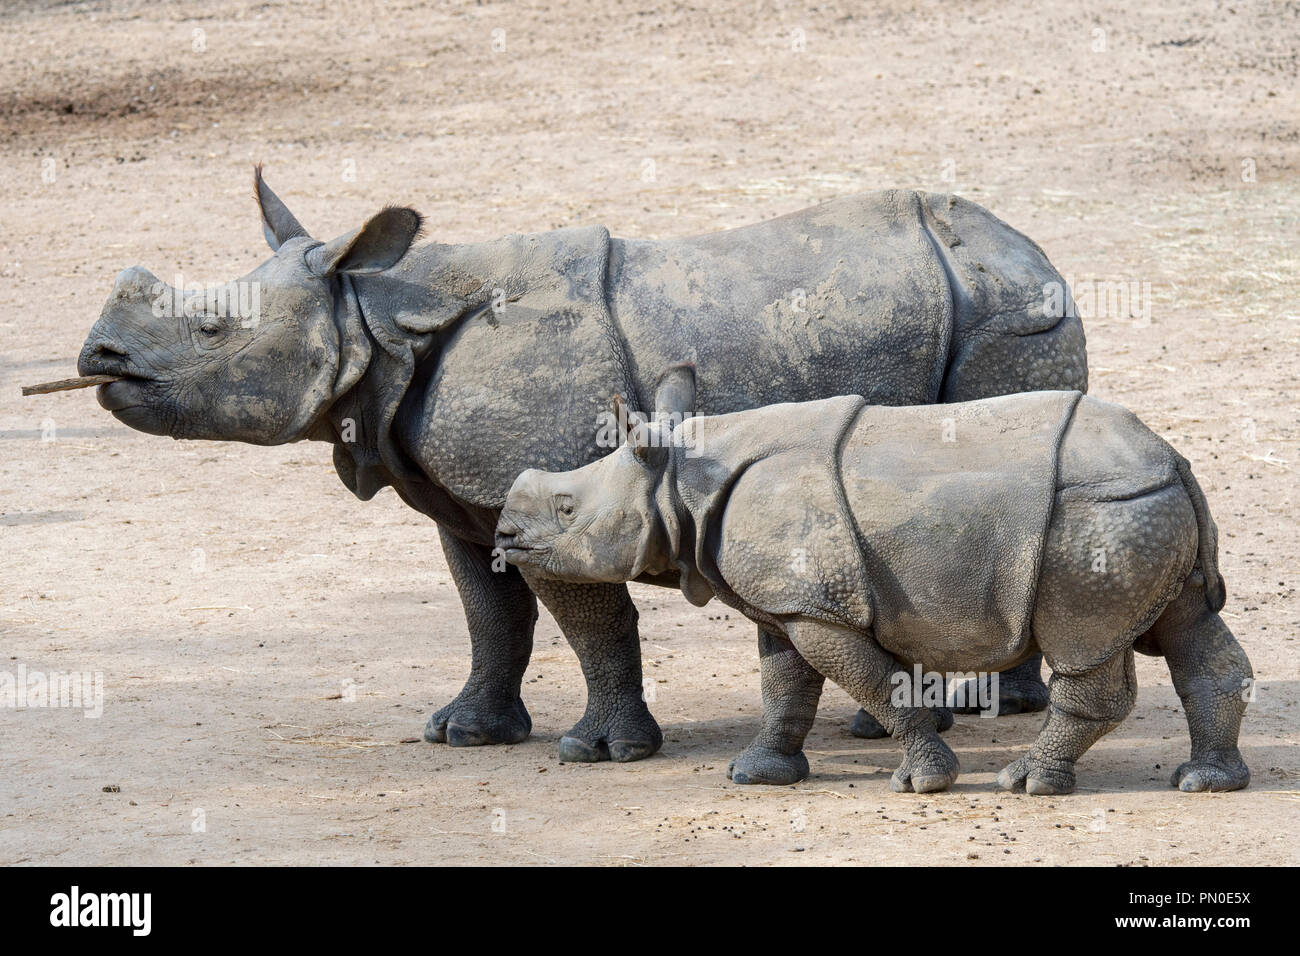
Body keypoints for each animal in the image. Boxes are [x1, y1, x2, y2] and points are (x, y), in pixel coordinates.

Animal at [76, 171, 1081, 770]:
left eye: (213, 330)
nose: (98, 357)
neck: (372, 315)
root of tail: (1031, 247)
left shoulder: (550, 493)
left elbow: (588, 619)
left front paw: (601, 752)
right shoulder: (465, 501)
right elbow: (491, 617)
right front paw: (464, 733)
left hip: (1007, 311)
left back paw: (973, 712)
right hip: (975, 301)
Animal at [493, 369, 1248, 796]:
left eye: (566, 509)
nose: (502, 534)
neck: (681, 479)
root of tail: (1171, 458)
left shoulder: (818, 609)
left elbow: (876, 685)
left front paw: (924, 784)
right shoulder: (791, 601)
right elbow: (784, 687)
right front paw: (756, 775)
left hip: (1097, 517)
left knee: (1084, 646)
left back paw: (1028, 785)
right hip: (1144, 507)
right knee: (1191, 629)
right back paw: (1206, 782)